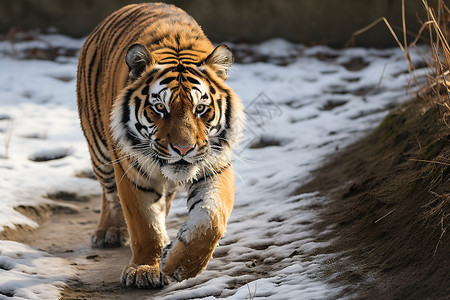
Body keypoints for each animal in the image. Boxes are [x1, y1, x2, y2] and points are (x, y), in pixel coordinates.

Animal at [78, 2, 246, 288]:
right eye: (159, 108)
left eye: (201, 109)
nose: (183, 149)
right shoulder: (131, 170)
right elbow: (144, 225)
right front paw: (144, 269)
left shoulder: (215, 164)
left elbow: (210, 218)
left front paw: (179, 264)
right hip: (100, 152)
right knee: (109, 193)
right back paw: (109, 231)